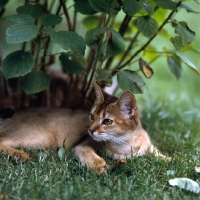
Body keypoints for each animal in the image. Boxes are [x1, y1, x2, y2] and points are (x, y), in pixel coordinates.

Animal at [0, 83, 164, 173]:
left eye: (107, 121)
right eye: (92, 116)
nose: (90, 130)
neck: (126, 144)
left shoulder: (149, 147)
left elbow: (159, 154)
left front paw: (168, 159)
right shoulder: (81, 145)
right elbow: (88, 154)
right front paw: (98, 166)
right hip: (42, 137)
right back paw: (21, 155)